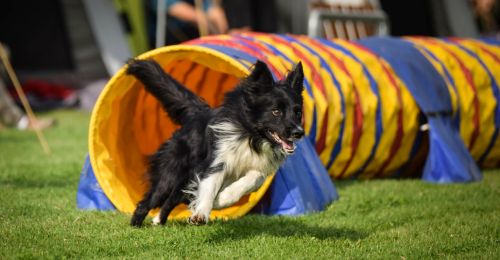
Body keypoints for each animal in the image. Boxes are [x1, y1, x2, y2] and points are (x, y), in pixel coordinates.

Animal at [127, 59, 302, 225]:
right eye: (276, 111)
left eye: (298, 112)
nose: (298, 132)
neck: (251, 136)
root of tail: (197, 114)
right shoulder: (216, 160)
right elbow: (210, 185)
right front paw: (201, 214)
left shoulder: (259, 167)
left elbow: (255, 178)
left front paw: (220, 200)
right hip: (172, 173)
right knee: (150, 200)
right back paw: (137, 224)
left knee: (173, 198)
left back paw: (159, 220)